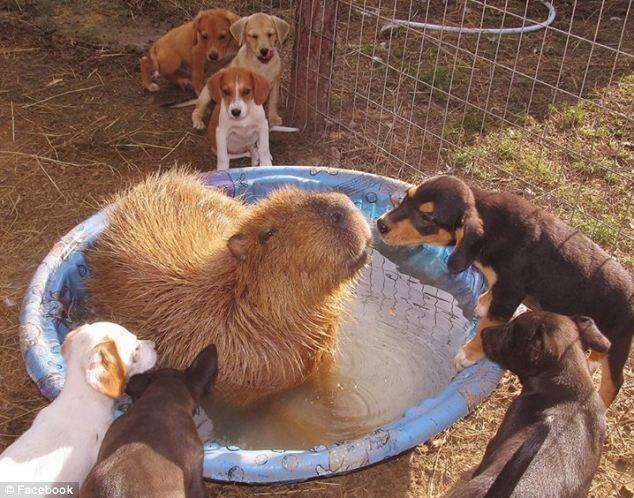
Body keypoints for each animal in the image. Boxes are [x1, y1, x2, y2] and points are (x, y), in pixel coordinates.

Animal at [376, 174, 632, 404]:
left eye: (426, 216)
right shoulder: (499, 284)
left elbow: (486, 325)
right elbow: (489, 294)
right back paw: (590, 362)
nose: (380, 224)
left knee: (613, 382)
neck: (492, 224)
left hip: (620, 340)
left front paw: (467, 354)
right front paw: (482, 302)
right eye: (407, 197)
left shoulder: (510, 292)